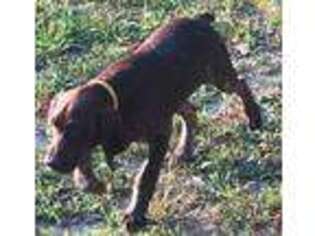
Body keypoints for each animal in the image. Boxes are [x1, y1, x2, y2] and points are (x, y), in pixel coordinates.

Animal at [43, 12, 262, 230]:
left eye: (74, 129)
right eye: (53, 125)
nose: (50, 163)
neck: (120, 97)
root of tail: (198, 19)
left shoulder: (160, 135)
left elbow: (146, 175)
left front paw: (135, 214)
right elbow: (83, 156)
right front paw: (90, 183)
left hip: (217, 75)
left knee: (240, 84)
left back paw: (254, 117)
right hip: (176, 98)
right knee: (191, 112)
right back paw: (184, 151)